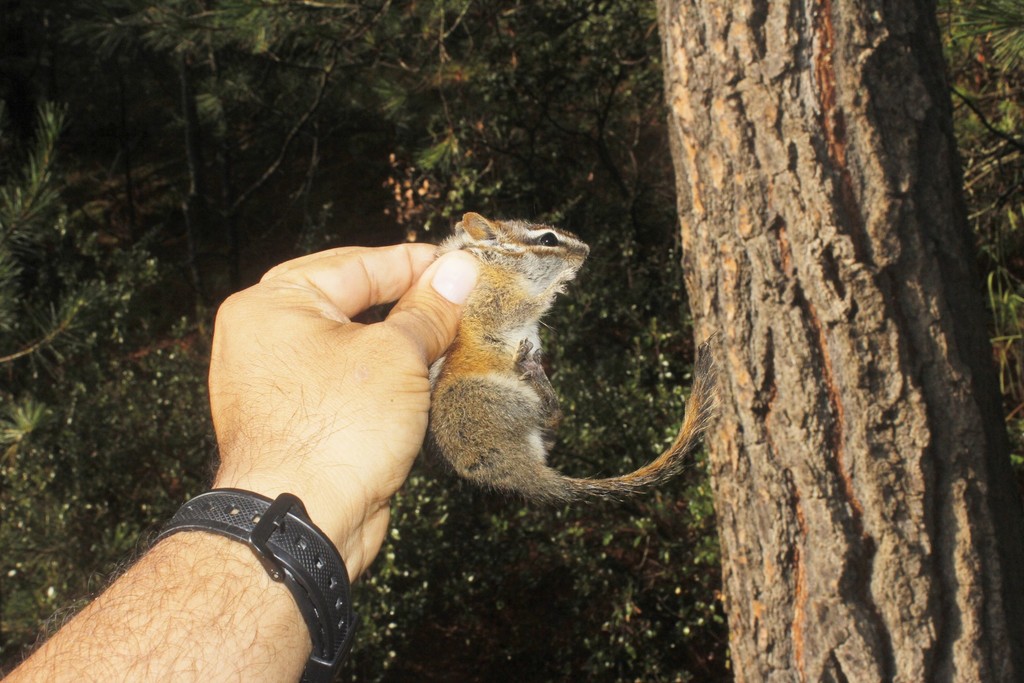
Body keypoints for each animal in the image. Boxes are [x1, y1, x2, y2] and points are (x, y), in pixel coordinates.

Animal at [427, 212, 717, 503]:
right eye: (548, 239)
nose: (586, 250)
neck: (501, 266)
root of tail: (518, 473)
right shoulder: (495, 301)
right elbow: (528, 306)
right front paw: (560, 281)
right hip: (484, 395)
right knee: (549, 413)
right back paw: (529, 369)